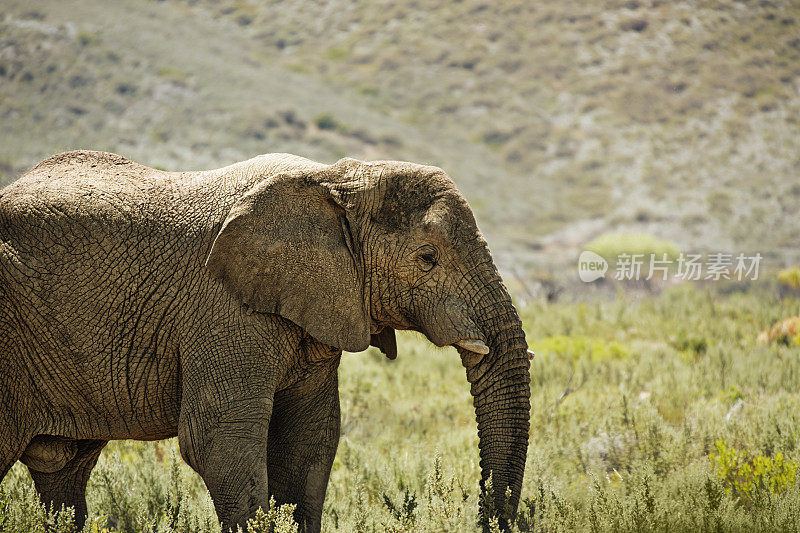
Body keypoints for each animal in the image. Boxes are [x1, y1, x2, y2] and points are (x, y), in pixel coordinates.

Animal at [0, 151, 536, 532]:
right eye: (427, 258)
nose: (483, 519)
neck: (334, 178)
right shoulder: (223, 309)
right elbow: (219, 440)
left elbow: (307, 443)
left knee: (64, 470)